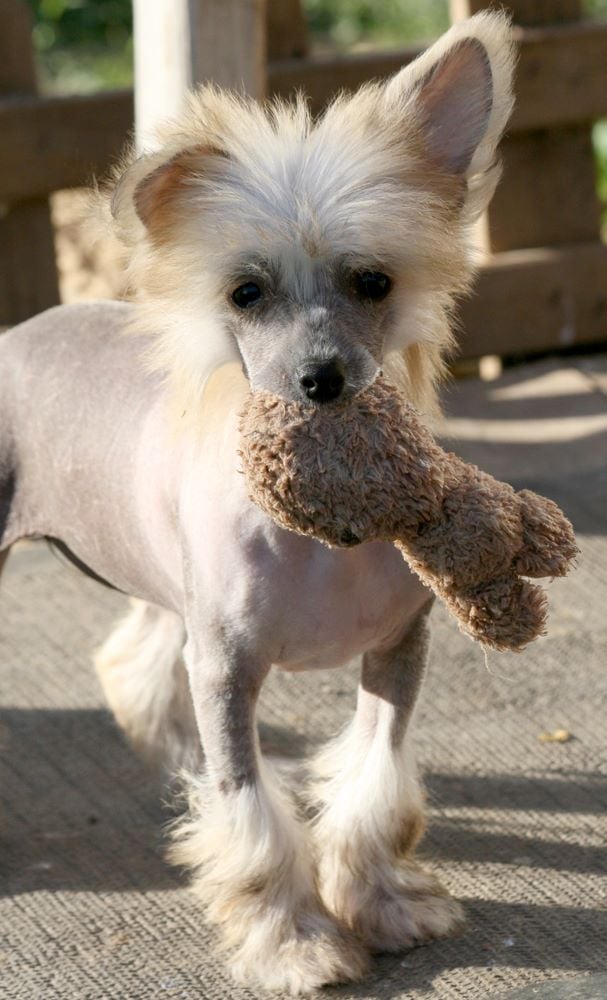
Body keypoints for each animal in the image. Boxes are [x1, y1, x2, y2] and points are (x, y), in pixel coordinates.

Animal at [0, 13, 515, 993]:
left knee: (135, 668)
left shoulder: (396, 653)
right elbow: (250, 818)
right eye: (245, 293)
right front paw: (292, 943)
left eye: (372, 282)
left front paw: (384, 905)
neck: (322, 528)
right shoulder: (226, 668)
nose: (321, 379)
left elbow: (372, 779)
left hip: (161, 577)